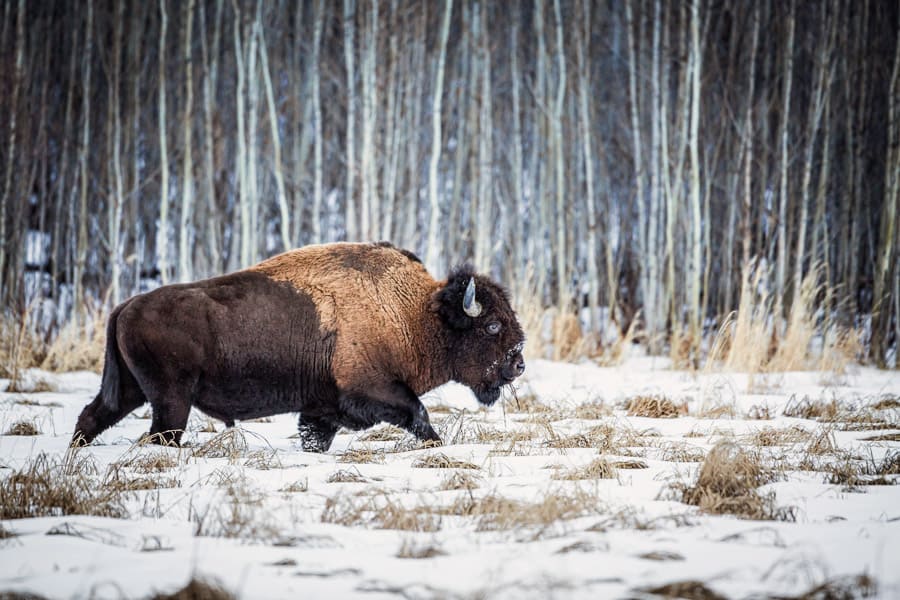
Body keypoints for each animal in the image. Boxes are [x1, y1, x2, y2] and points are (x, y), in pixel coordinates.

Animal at [72, 241, 528, 452]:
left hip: (131, 390)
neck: (415, 312)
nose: (519, 363)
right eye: (491, 325)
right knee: (159, 434)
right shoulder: (373, 390)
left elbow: (315, 436)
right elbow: (420, 415)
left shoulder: (322, 411)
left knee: (93, 416)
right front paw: (437, 445)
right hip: (171, 399)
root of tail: (126, 305)